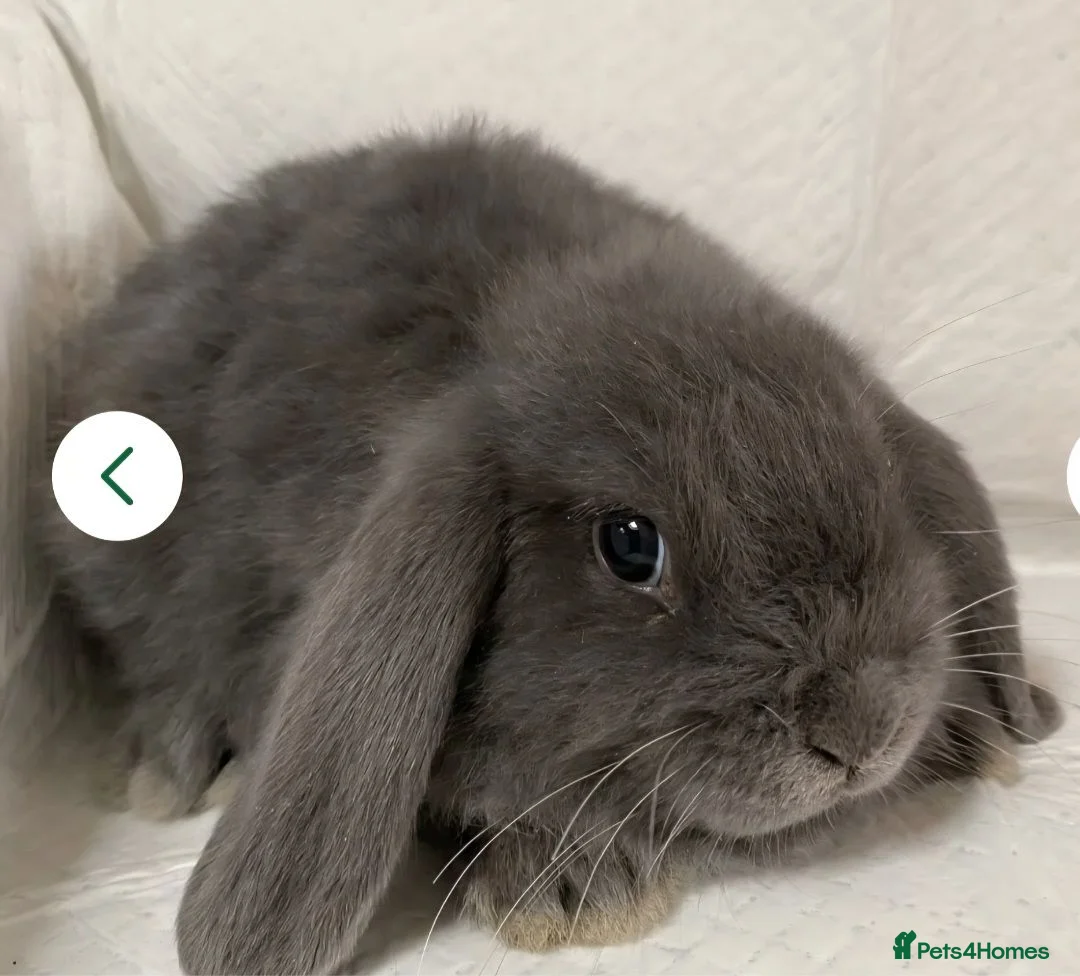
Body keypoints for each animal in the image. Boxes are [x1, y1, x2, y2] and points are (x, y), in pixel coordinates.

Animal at [34, 120, 1063, 975]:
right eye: (629, 546)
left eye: (878, 474)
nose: (863, 733)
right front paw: (571, 893)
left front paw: (972, 735)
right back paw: (173, 766)